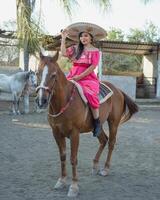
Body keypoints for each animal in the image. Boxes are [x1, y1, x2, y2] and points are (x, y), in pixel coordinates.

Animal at [35, 51, 138, 197]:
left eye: (53, 75)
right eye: (37, 72)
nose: (41, 100)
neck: (64, 100)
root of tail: (117, 90)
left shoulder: (74, 134)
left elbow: (73, 158)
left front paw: (74, 187)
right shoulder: (56, 133)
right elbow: (62, 156)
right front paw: (61, 181)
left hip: (113, 123)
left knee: (111, 143)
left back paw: (105, 169)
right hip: (98, 126)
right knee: (103, 140)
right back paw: (95, 165)